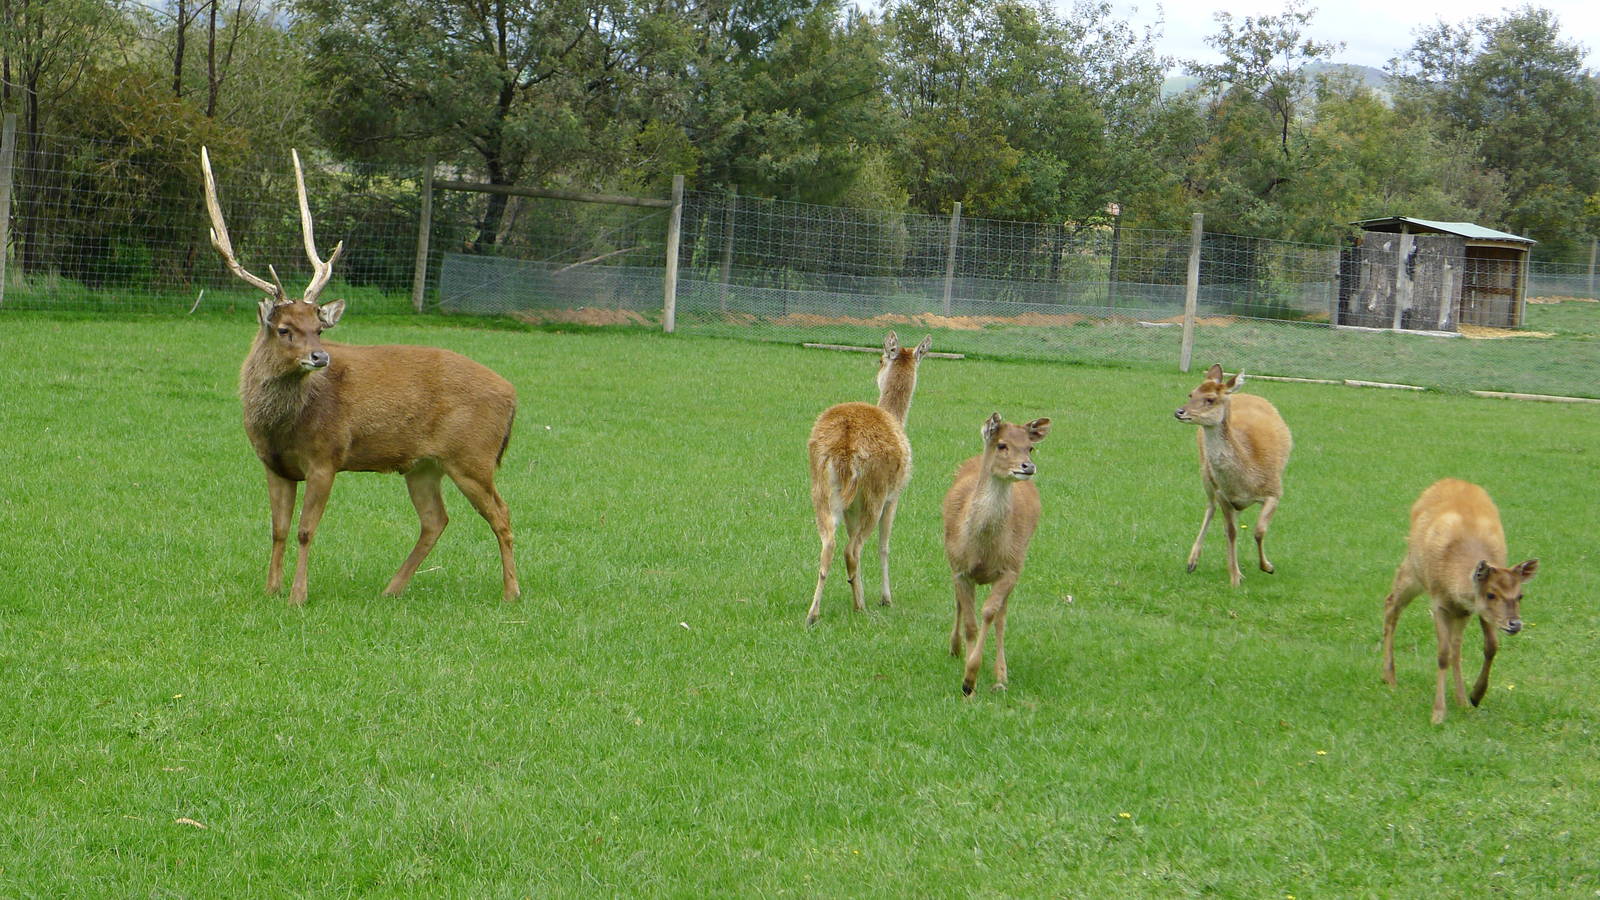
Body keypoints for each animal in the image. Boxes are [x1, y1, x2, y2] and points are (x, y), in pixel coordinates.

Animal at [201, 146, 520, 606]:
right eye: (285, 329)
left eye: (319, 328)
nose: (320, 358)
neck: (282, 426)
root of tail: (513, 396)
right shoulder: (273, 464)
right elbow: (278, 529)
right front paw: (270, 589)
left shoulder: (326, 457)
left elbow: (305, 530)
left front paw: (298, 596)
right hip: (424, 465)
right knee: (436, 520)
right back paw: (392, 589)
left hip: (472, 455)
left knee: (501, 513)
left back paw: (511, 592)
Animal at [804, 332, 933, 626]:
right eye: (881, 359)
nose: (878, 367)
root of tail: (845, 445)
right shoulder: (895, 496)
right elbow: (884, 546)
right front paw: (886, 598)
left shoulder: (852, 507)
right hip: (875, 492)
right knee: (852, 549)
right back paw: (860, 606)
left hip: (821, 490)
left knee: (831, 544)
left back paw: (814, 613)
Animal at [944, 414, 1051, 695]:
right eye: (1002, 445)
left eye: (1030, 447)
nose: (1028, 466)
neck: (983, 549)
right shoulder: (960, 569)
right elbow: (970, 623)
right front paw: (968, 683)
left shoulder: (1011, 569)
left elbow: (990, 614)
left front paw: (972, 677)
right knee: (959, 604)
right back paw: (954, 648)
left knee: (1002, 617)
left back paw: (1001, 676)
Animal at [1173, 364, 1292, 587]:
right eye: (1191, 393)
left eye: (1210, 399)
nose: (1179, 411)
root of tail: (1242, 394)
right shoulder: (1223, 494)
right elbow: (1231, 532)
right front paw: (1235, 578)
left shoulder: (1275, 490)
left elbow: (1259, 530)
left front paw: (1267, 567)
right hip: (1206, 474)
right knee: (1210, 508)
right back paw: (1192, 562)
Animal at [1381, 478, 1538, 724]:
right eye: (1491, 594)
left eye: (1520, 595)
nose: (1515, 624)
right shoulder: (1439, 603)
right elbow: (1443, 654)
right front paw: (1438, 714)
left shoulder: (1472, 609)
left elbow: (1489, 646)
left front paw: (1473, 697)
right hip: (1413, 569)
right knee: (1390, 603)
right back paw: (1389, 677)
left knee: (1457, 647)